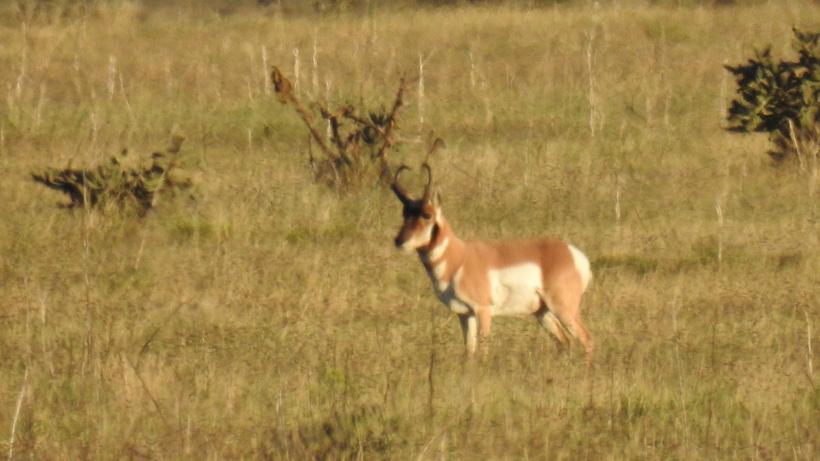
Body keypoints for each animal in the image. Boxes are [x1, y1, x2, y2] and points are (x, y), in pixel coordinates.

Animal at [391, 164, 594, 357]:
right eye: (404, 213)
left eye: (427, 214)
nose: (399, 241)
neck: (459, 258)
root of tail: (573, 254)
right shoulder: (465, 314)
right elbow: (469, 351)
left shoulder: (483, 310)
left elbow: (483, 349)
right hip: (541, 312)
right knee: (565, 341)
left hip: (564, 309)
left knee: (587, 339)